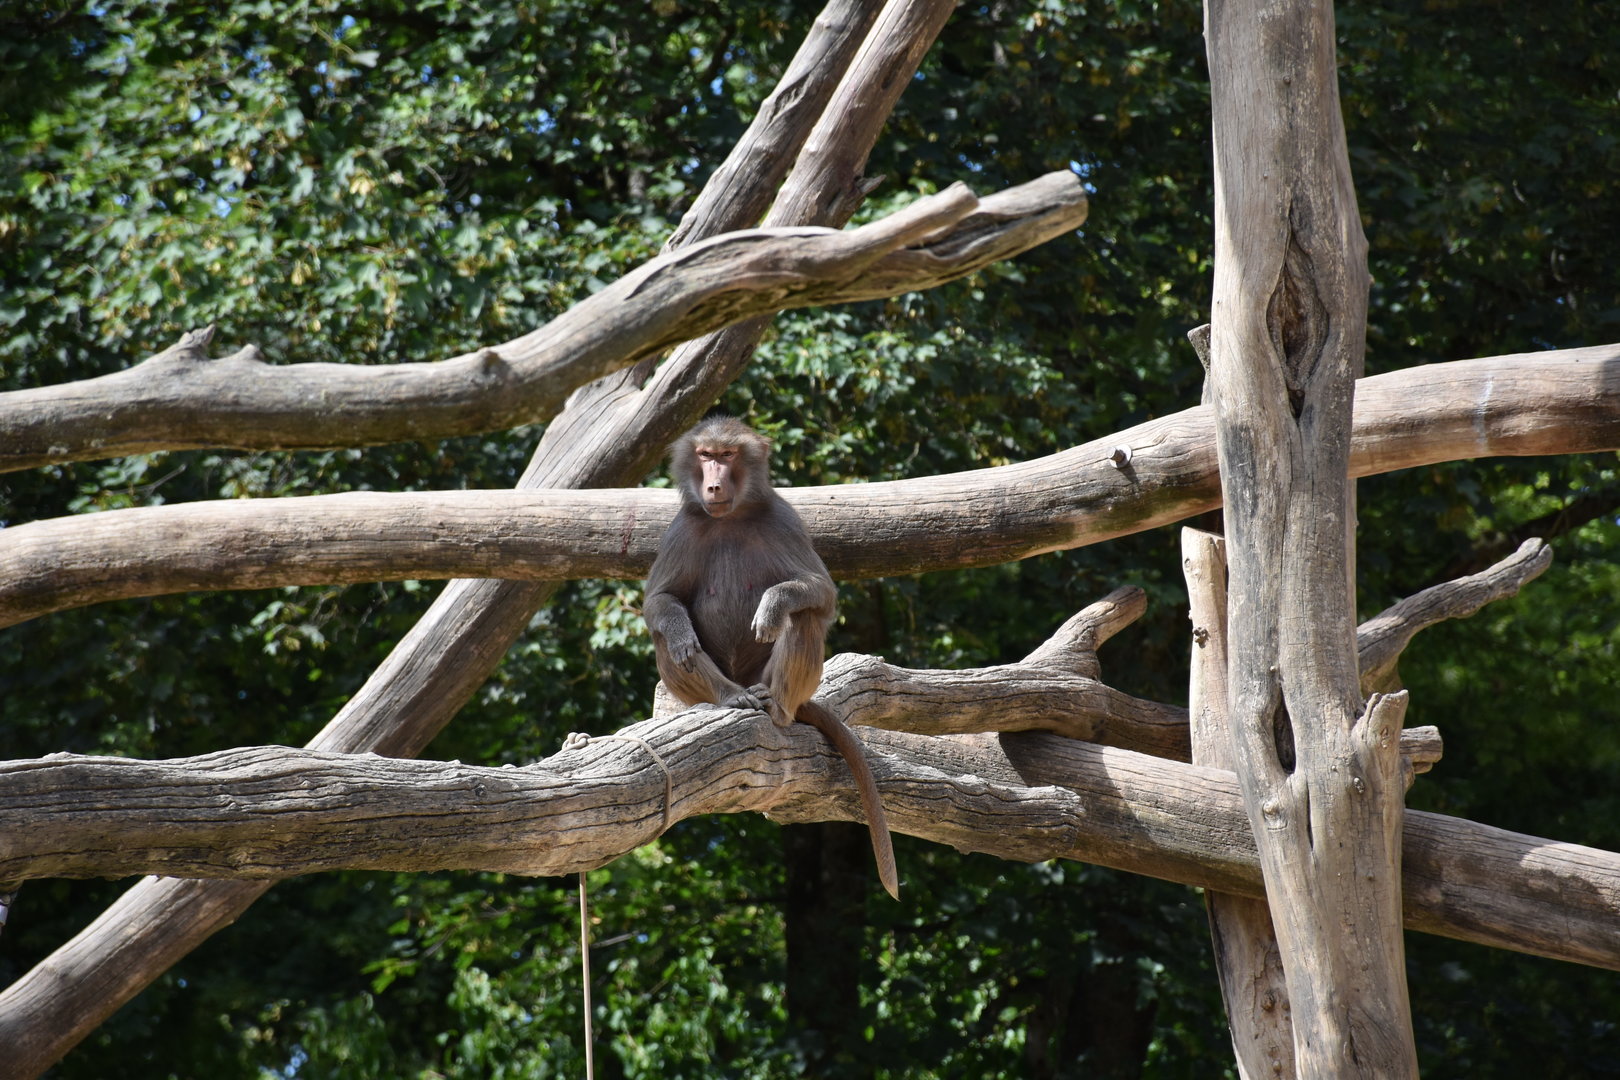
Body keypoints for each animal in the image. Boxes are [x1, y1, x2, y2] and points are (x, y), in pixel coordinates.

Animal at [643, 415, 900, 900]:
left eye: (727, 456)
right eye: (705, 455)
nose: (713, 485)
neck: (731, 516)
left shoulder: (783, 520)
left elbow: (820, 594)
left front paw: (772, 607)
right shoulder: (680, 529)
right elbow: (660, 604)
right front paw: (682, 632)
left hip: (772, 679)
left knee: (804, 620)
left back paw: (776, 705)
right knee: (667, 637)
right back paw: (725, 698)